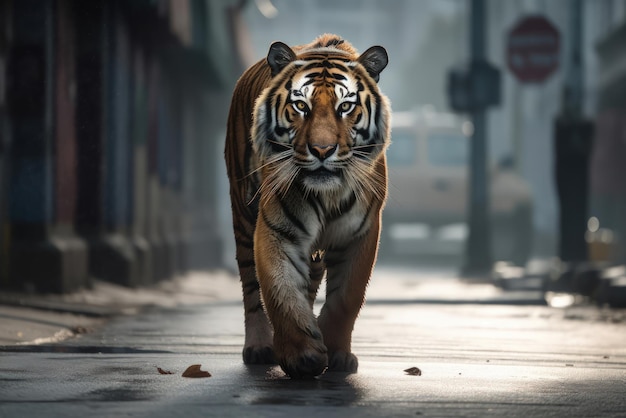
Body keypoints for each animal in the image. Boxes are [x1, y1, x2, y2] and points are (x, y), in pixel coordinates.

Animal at [224, 32, 390, 378]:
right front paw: (303, 355)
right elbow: (281, 289)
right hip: (243, 215)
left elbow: (346, 298)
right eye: (301, 105)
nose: (322, 150)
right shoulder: (278, 229)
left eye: (345, 107)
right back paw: (259, 346)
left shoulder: (361, 233)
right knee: (251, 288)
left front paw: (337, 353)